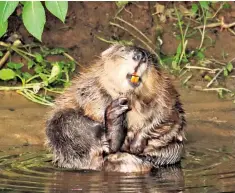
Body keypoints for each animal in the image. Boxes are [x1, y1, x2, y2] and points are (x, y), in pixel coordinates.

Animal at [46, 44, 185, 173]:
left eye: (152, 58)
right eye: (122, 50)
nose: (140, 56)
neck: (132, 97)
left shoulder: (167, 95)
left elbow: (165, 117)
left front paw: (135, 145)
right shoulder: (90, 86)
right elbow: (92, 102)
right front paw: (118, 108)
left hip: (176, 150)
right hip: (62, 124)